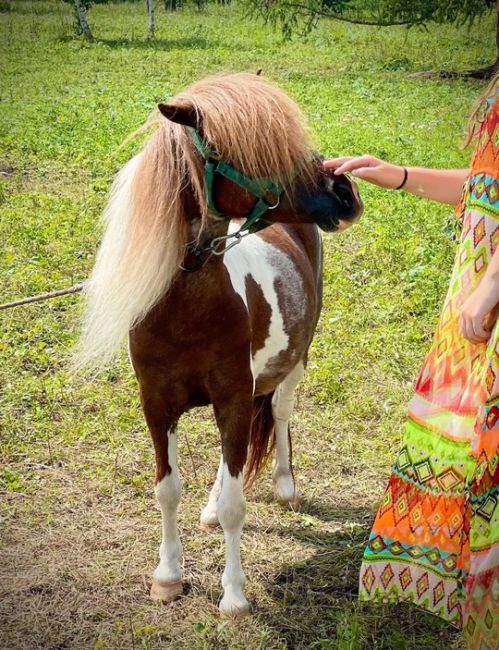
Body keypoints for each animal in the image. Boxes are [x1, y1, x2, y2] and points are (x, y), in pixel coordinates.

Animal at [79, 73, 364, 616]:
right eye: (256, 152)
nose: (345, 190)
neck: (186, 310)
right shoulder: (157, 405)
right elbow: (167, 491)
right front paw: (168, 576)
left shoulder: (232, 397)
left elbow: (237, 505)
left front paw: (233, 596)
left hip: (292, 363)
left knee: (280, 413)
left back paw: (285, 484)